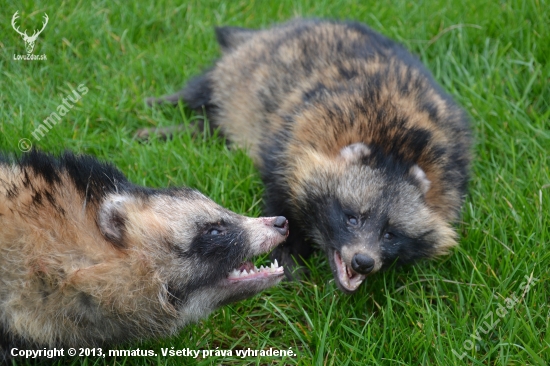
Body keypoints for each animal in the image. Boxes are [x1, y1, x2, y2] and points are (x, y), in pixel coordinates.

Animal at [149, 19, 472, 294]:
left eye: (391, 234)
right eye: (351, 218)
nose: (363, 262)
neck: (397, 145)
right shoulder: (291, 133)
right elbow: (281, 197)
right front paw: (289, 251)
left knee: (211, 125)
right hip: (243, 67)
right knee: (203, 88)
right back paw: (168, 104)